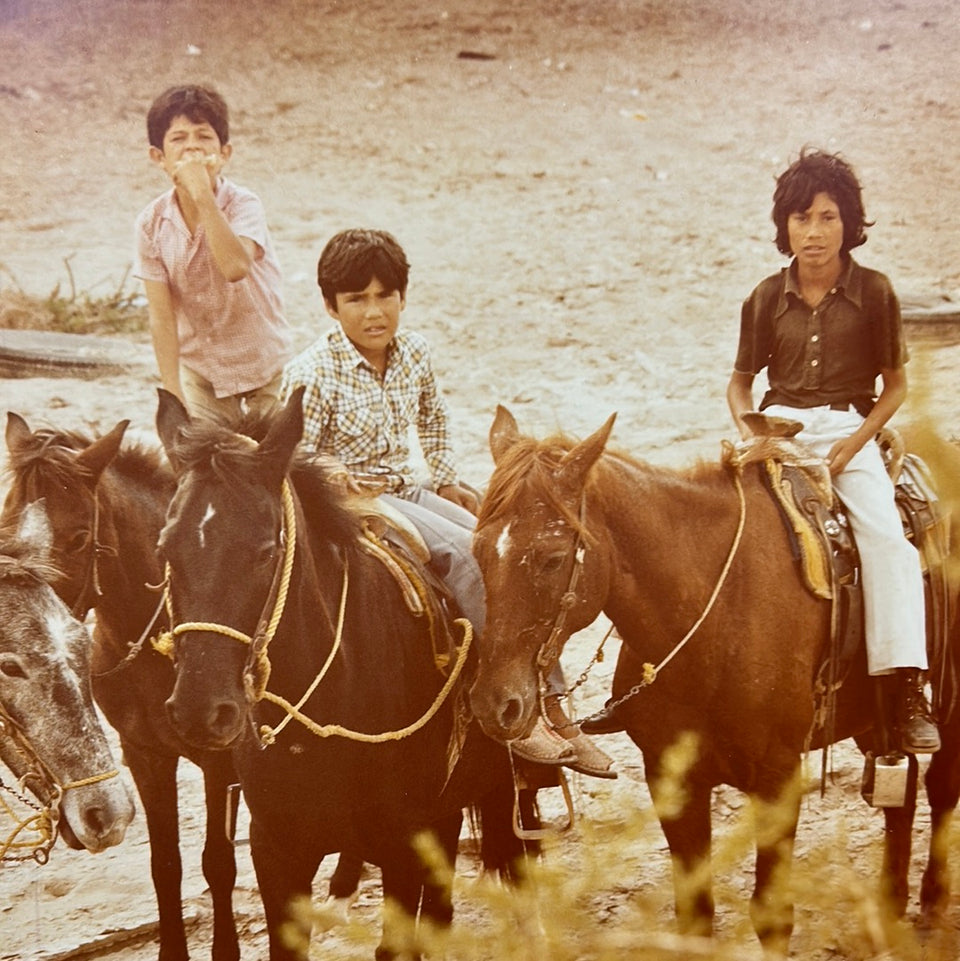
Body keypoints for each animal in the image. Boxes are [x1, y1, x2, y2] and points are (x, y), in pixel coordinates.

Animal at [154, 388, 536, 960]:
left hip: (504, 789)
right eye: (165, 549)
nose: (201, 710)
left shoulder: (402, 848)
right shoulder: (276, 851)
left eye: (265, 552)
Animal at [466, 404, 960, 952]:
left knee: (941, 785)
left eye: (552, 558)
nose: (494, 703)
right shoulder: (672, 778)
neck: (719, 614)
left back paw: (932, 908)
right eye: (479, 550)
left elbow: (771, 915)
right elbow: (695, 914)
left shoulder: (778, 778)